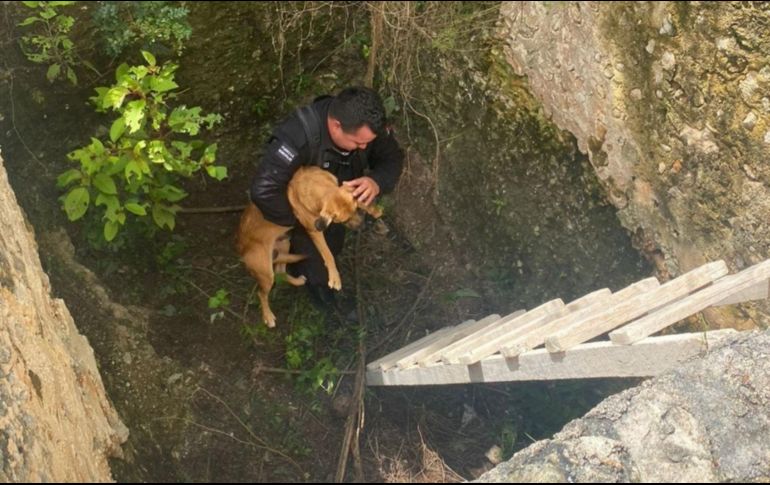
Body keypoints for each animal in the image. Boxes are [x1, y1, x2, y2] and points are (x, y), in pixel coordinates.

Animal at [234, 164, 378, 328]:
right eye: (344, 221)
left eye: (355, 211)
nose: (362, 226)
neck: (318, 187)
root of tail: (240, 247)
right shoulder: (315, 231)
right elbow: (328, 254)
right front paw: (334, 277)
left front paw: (373, 207)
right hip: (265, 272)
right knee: (261, 293)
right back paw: (268, 316)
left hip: (284, 244)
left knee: (280, 272)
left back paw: (298, 280)